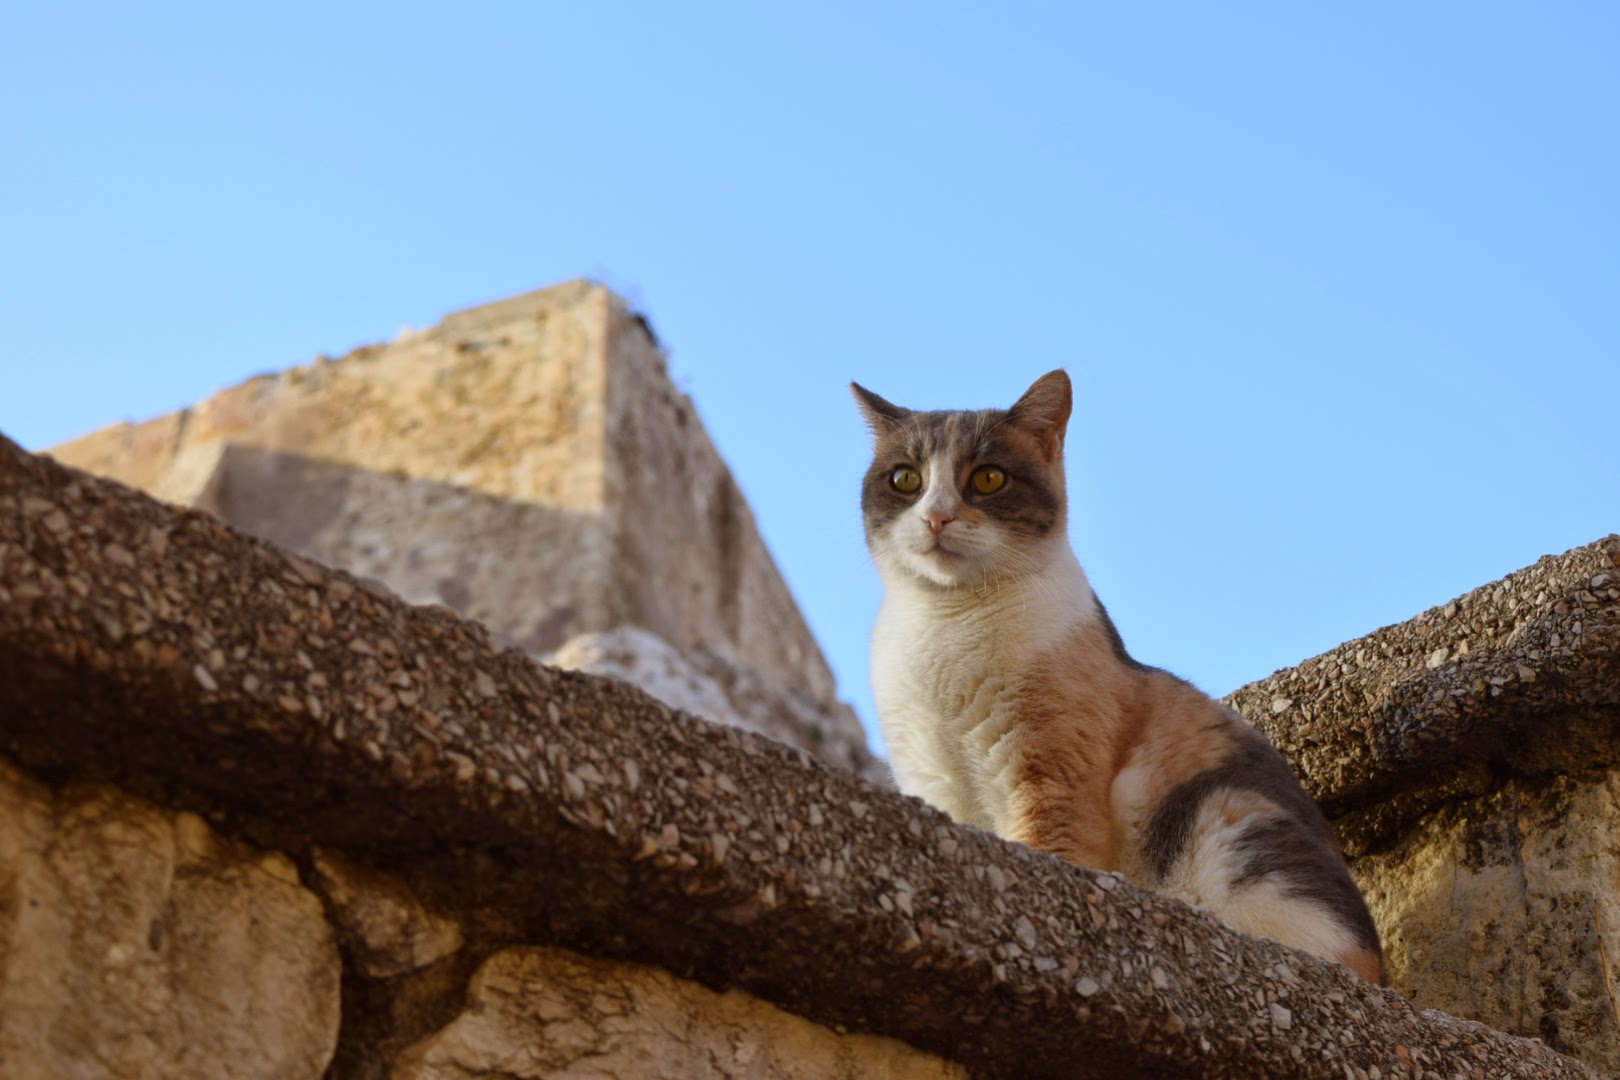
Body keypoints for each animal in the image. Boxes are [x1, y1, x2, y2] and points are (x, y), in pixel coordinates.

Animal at [855, 372, 1386, 990]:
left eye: (988, 478)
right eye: (906, 480)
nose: (936, 516)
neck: (944, 627)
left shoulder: (1051, 780)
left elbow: (1052, 847)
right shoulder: (932, 779)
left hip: (1229, 827)